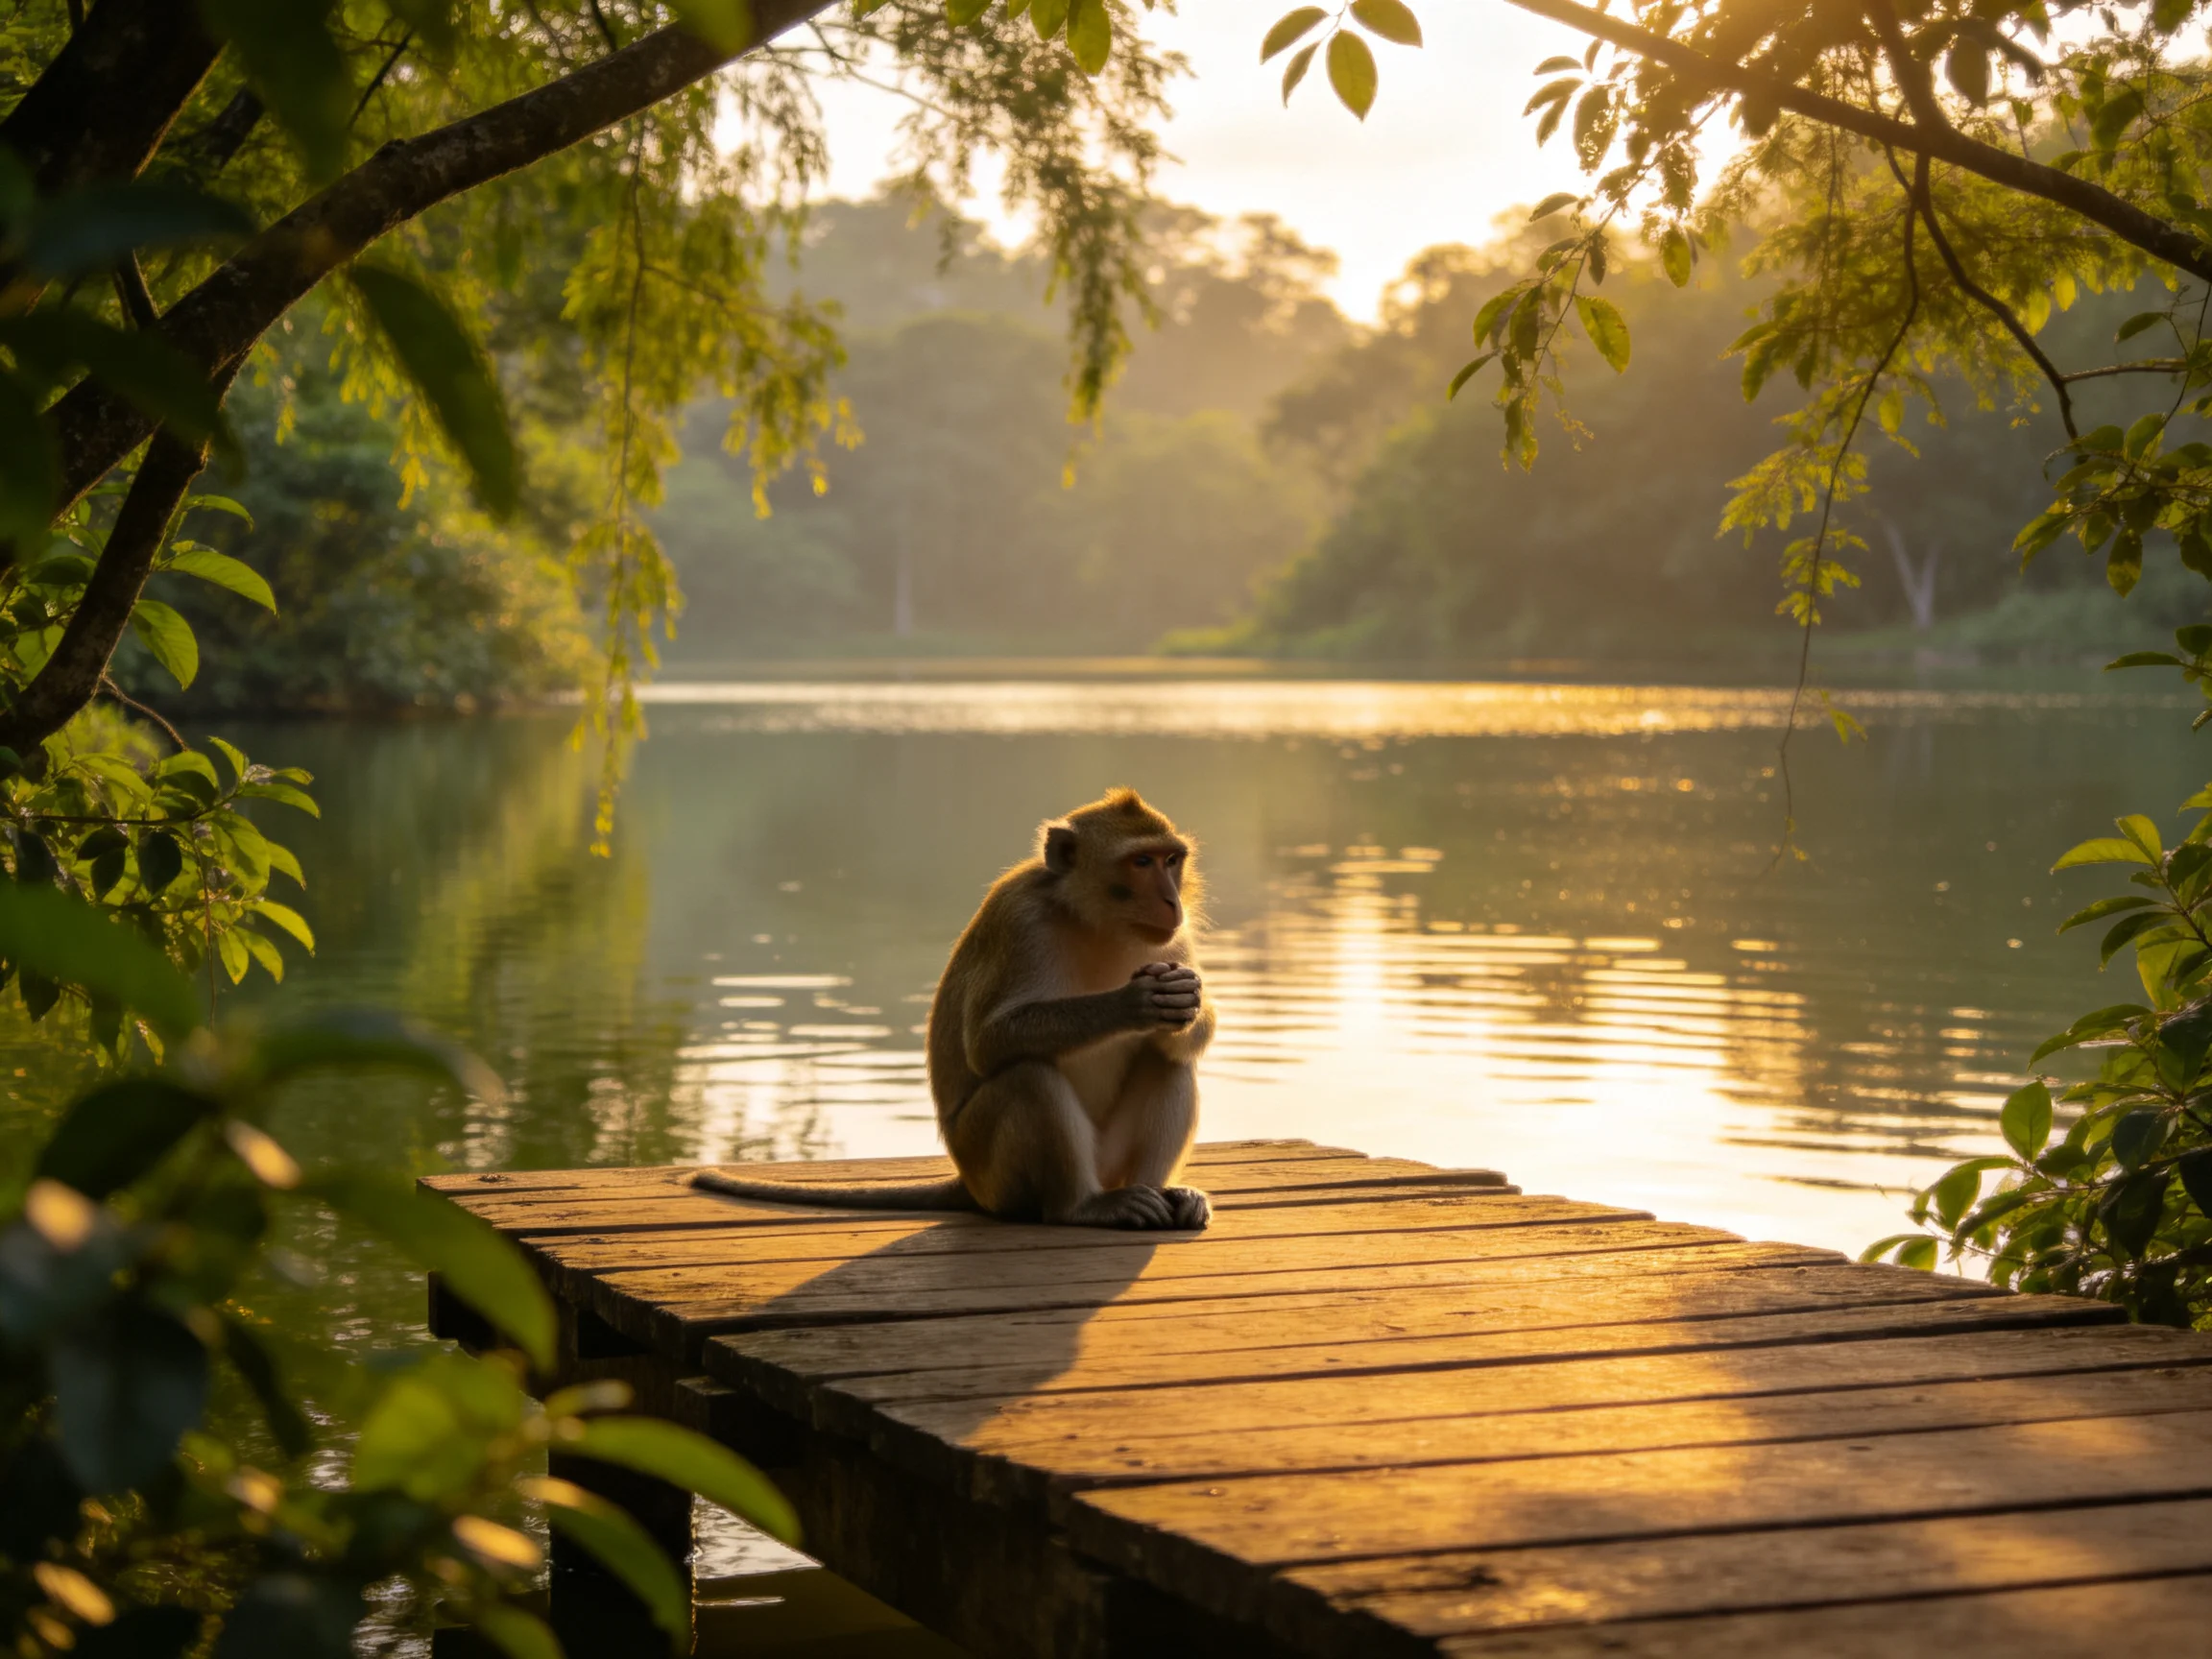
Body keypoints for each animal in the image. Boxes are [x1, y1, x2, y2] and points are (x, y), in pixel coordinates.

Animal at [693, 788, 1215, 1230]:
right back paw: (1082, 1206)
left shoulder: (1173, 938)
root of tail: (969, 1183)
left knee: (1168, 1061)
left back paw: (1161, 1193)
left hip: (1105, 1162)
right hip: (991, 1166)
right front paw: (1134, 1003)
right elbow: (989, 1042)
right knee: (1028, 1075)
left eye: (1171, 860)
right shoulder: (1020, 920)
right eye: (1141, 861)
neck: (1092, 920)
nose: (1171, 900)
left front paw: (1184, 1001)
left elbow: (1185, 1035)